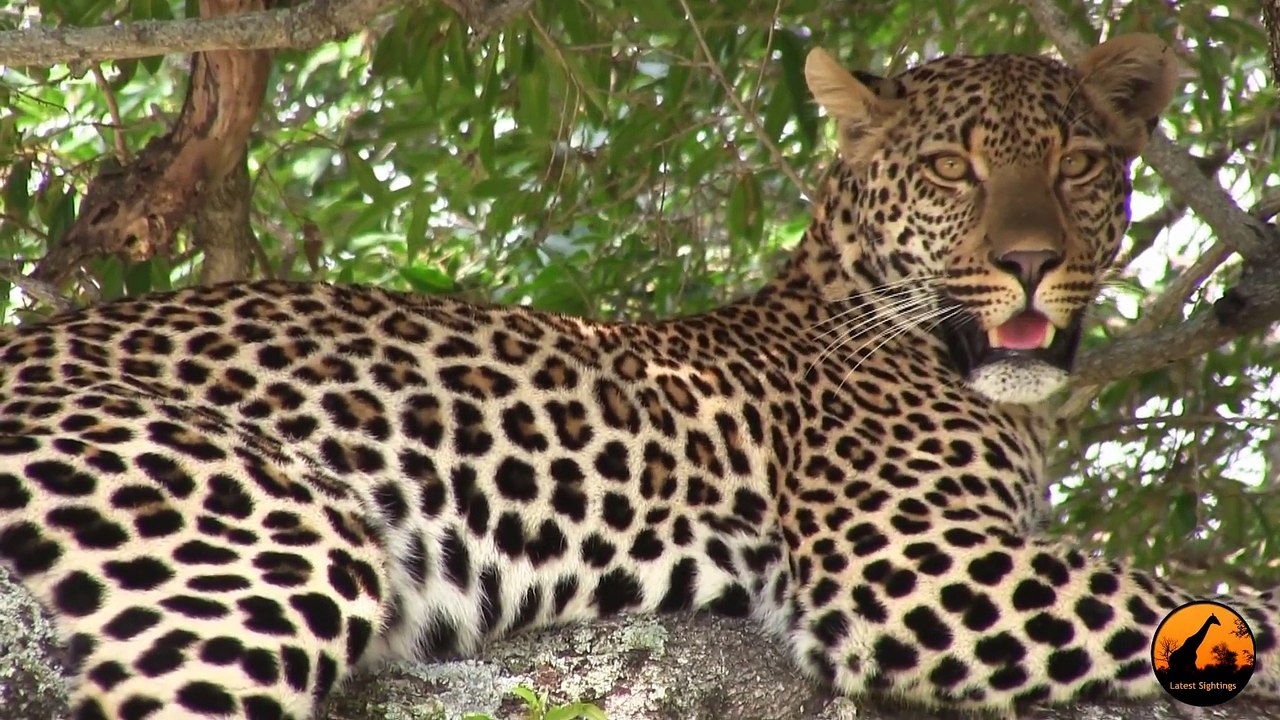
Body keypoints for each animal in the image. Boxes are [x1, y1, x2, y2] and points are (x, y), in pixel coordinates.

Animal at [1, 32, 1276, 720]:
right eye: (953, 172)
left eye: (1074, 167)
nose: (1028, 264)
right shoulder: (902, 560)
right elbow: (1180, 597)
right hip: (259, 540)